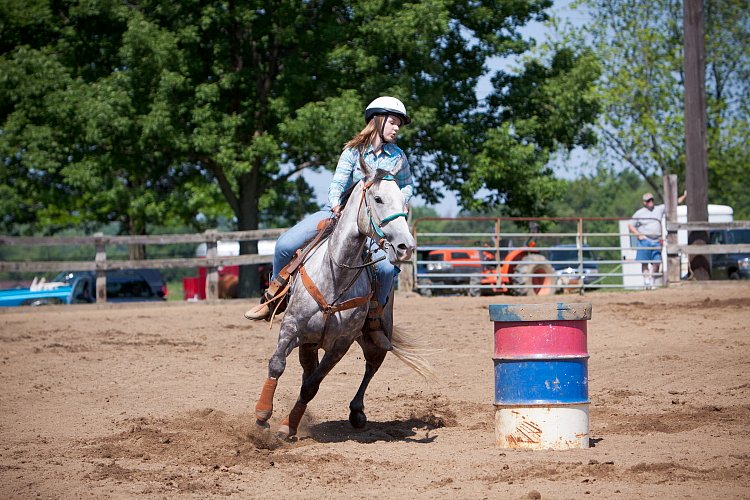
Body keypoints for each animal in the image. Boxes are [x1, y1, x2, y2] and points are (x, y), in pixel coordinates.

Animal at [254, 167, 434, 438]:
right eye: (378, 199)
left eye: (404, 202)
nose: (406, 247)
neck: (335, 276)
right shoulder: (292, 327)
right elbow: (277, 364)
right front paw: (263, 414)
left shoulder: (341, 344)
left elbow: (311, 386)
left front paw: (287, 426)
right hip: (309, 342)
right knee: (308, 368)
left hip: (375, 339)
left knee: (371, 366)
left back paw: (357, 412)